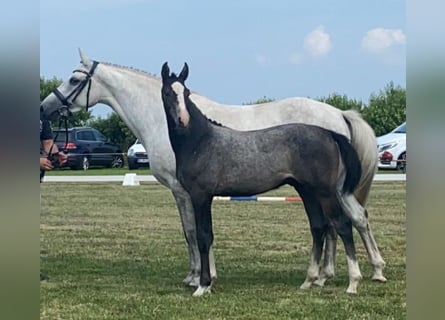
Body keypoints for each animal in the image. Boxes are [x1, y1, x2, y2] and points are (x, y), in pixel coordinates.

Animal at [160, 63, 372, 298]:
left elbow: (203, 237)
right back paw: (309, 280)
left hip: (326, 192)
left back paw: (353, 282)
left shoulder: (201, 196)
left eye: (186, 93)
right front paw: (206, 283)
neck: (200, 142)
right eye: (167, 92)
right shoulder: (198, 197)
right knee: (319, 227)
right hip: (307, 191)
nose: (183, 121)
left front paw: (203, 285)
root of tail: (330, 134)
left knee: (342, 224)